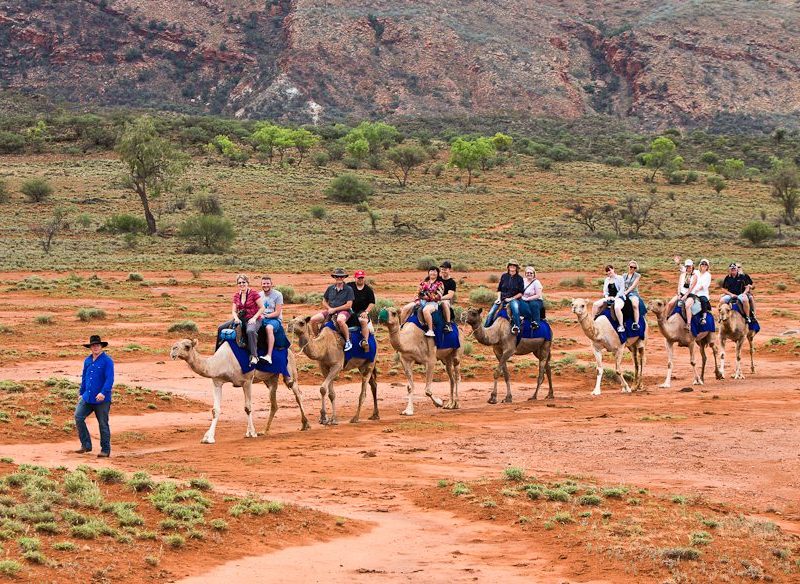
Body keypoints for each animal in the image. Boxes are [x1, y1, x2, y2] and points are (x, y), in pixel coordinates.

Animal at [172, 338, 310, 442]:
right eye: (176, 344)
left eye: (187, 346)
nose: (173, 350)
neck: (221, 362)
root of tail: (289, 350)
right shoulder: (217, 382)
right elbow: (215, 410)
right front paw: (208, 438)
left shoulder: (247, 380)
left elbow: (247, 407)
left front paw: (251, 433)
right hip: (270, 378)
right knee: (274, 402)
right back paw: (265, 431)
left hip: (289, 369)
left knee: (297, 392)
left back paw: (305, 424)